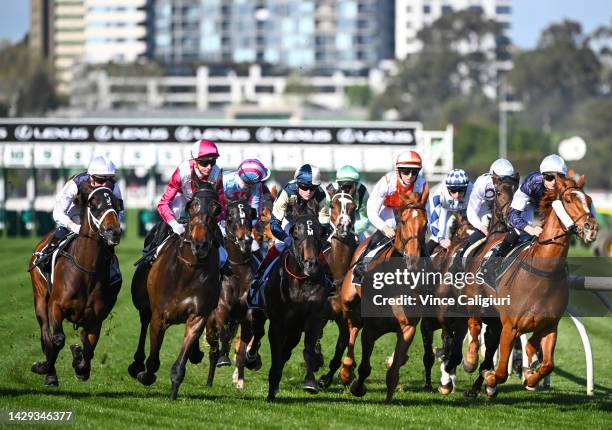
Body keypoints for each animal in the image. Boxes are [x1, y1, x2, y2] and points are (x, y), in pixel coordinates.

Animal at [28, 181, 122, 386]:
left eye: (117, 205)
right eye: (93, 206)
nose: (114, 231)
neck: (86, 272)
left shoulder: (95, 319)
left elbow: (88, 349)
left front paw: (79, 363)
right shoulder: (55, 306)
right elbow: (57, 339)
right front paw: (43, 368)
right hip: (40, 296)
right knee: (46, 333)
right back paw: (50, 373)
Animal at [128, 185, 222, 400]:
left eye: (216, 208)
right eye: (192, 205)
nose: (200, 244)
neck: (189, 270)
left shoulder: (198, 316)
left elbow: (182, 360)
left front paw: (174, 387)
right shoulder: (159, 316)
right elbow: (153, 360)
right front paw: (145, 374)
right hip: (143, 303)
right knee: (143, 322)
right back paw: (136, 364)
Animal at [340, 191, 430, 404]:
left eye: (426, 223)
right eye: (403, 221)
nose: (413, 260)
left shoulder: (407, 328)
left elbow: (394, 371)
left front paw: (389, 398)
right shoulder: (371, 328)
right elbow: (364, 366)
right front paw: (357, 387)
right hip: (348, 301)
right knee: (352, 327)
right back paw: (346, 371)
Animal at [466, 176, 596, 398]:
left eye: (588, 199)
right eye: (569, 200)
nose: (591, 227)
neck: (543, 276)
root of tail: (495, 235)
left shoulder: (549, 326)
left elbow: (548, 364)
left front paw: (530, 376)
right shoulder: (511, 327)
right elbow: (501, 371)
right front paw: (491, 379)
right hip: (475, 299)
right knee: (474, 326)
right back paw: (471, 360)